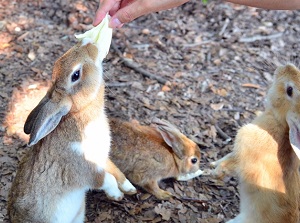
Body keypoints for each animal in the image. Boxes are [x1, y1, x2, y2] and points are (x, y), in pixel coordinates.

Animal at [7, 38, 136, 223]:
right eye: (75, 75)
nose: (88, 42)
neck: (81, 112)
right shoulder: (85, 168)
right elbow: (106, 179)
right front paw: (117, 195)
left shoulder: (102, 159)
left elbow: (115, 170)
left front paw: (129, 188)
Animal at [211, 63, 300, 223]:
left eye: (290, 90)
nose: (286, 66)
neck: (282, 123)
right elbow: (228, 156)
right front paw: (213, 164)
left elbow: (232, 164)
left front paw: (215, 173)